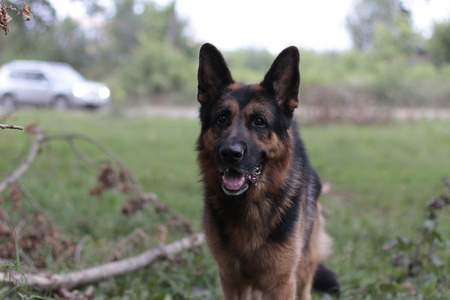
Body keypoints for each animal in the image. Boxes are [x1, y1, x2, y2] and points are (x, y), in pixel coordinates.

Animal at [195, 42, 340, 300]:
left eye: (259, 121)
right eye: (222, 118)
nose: (230, 154)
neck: (250, 205)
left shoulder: (281, 283)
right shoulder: (231, 279)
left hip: (303, 268)